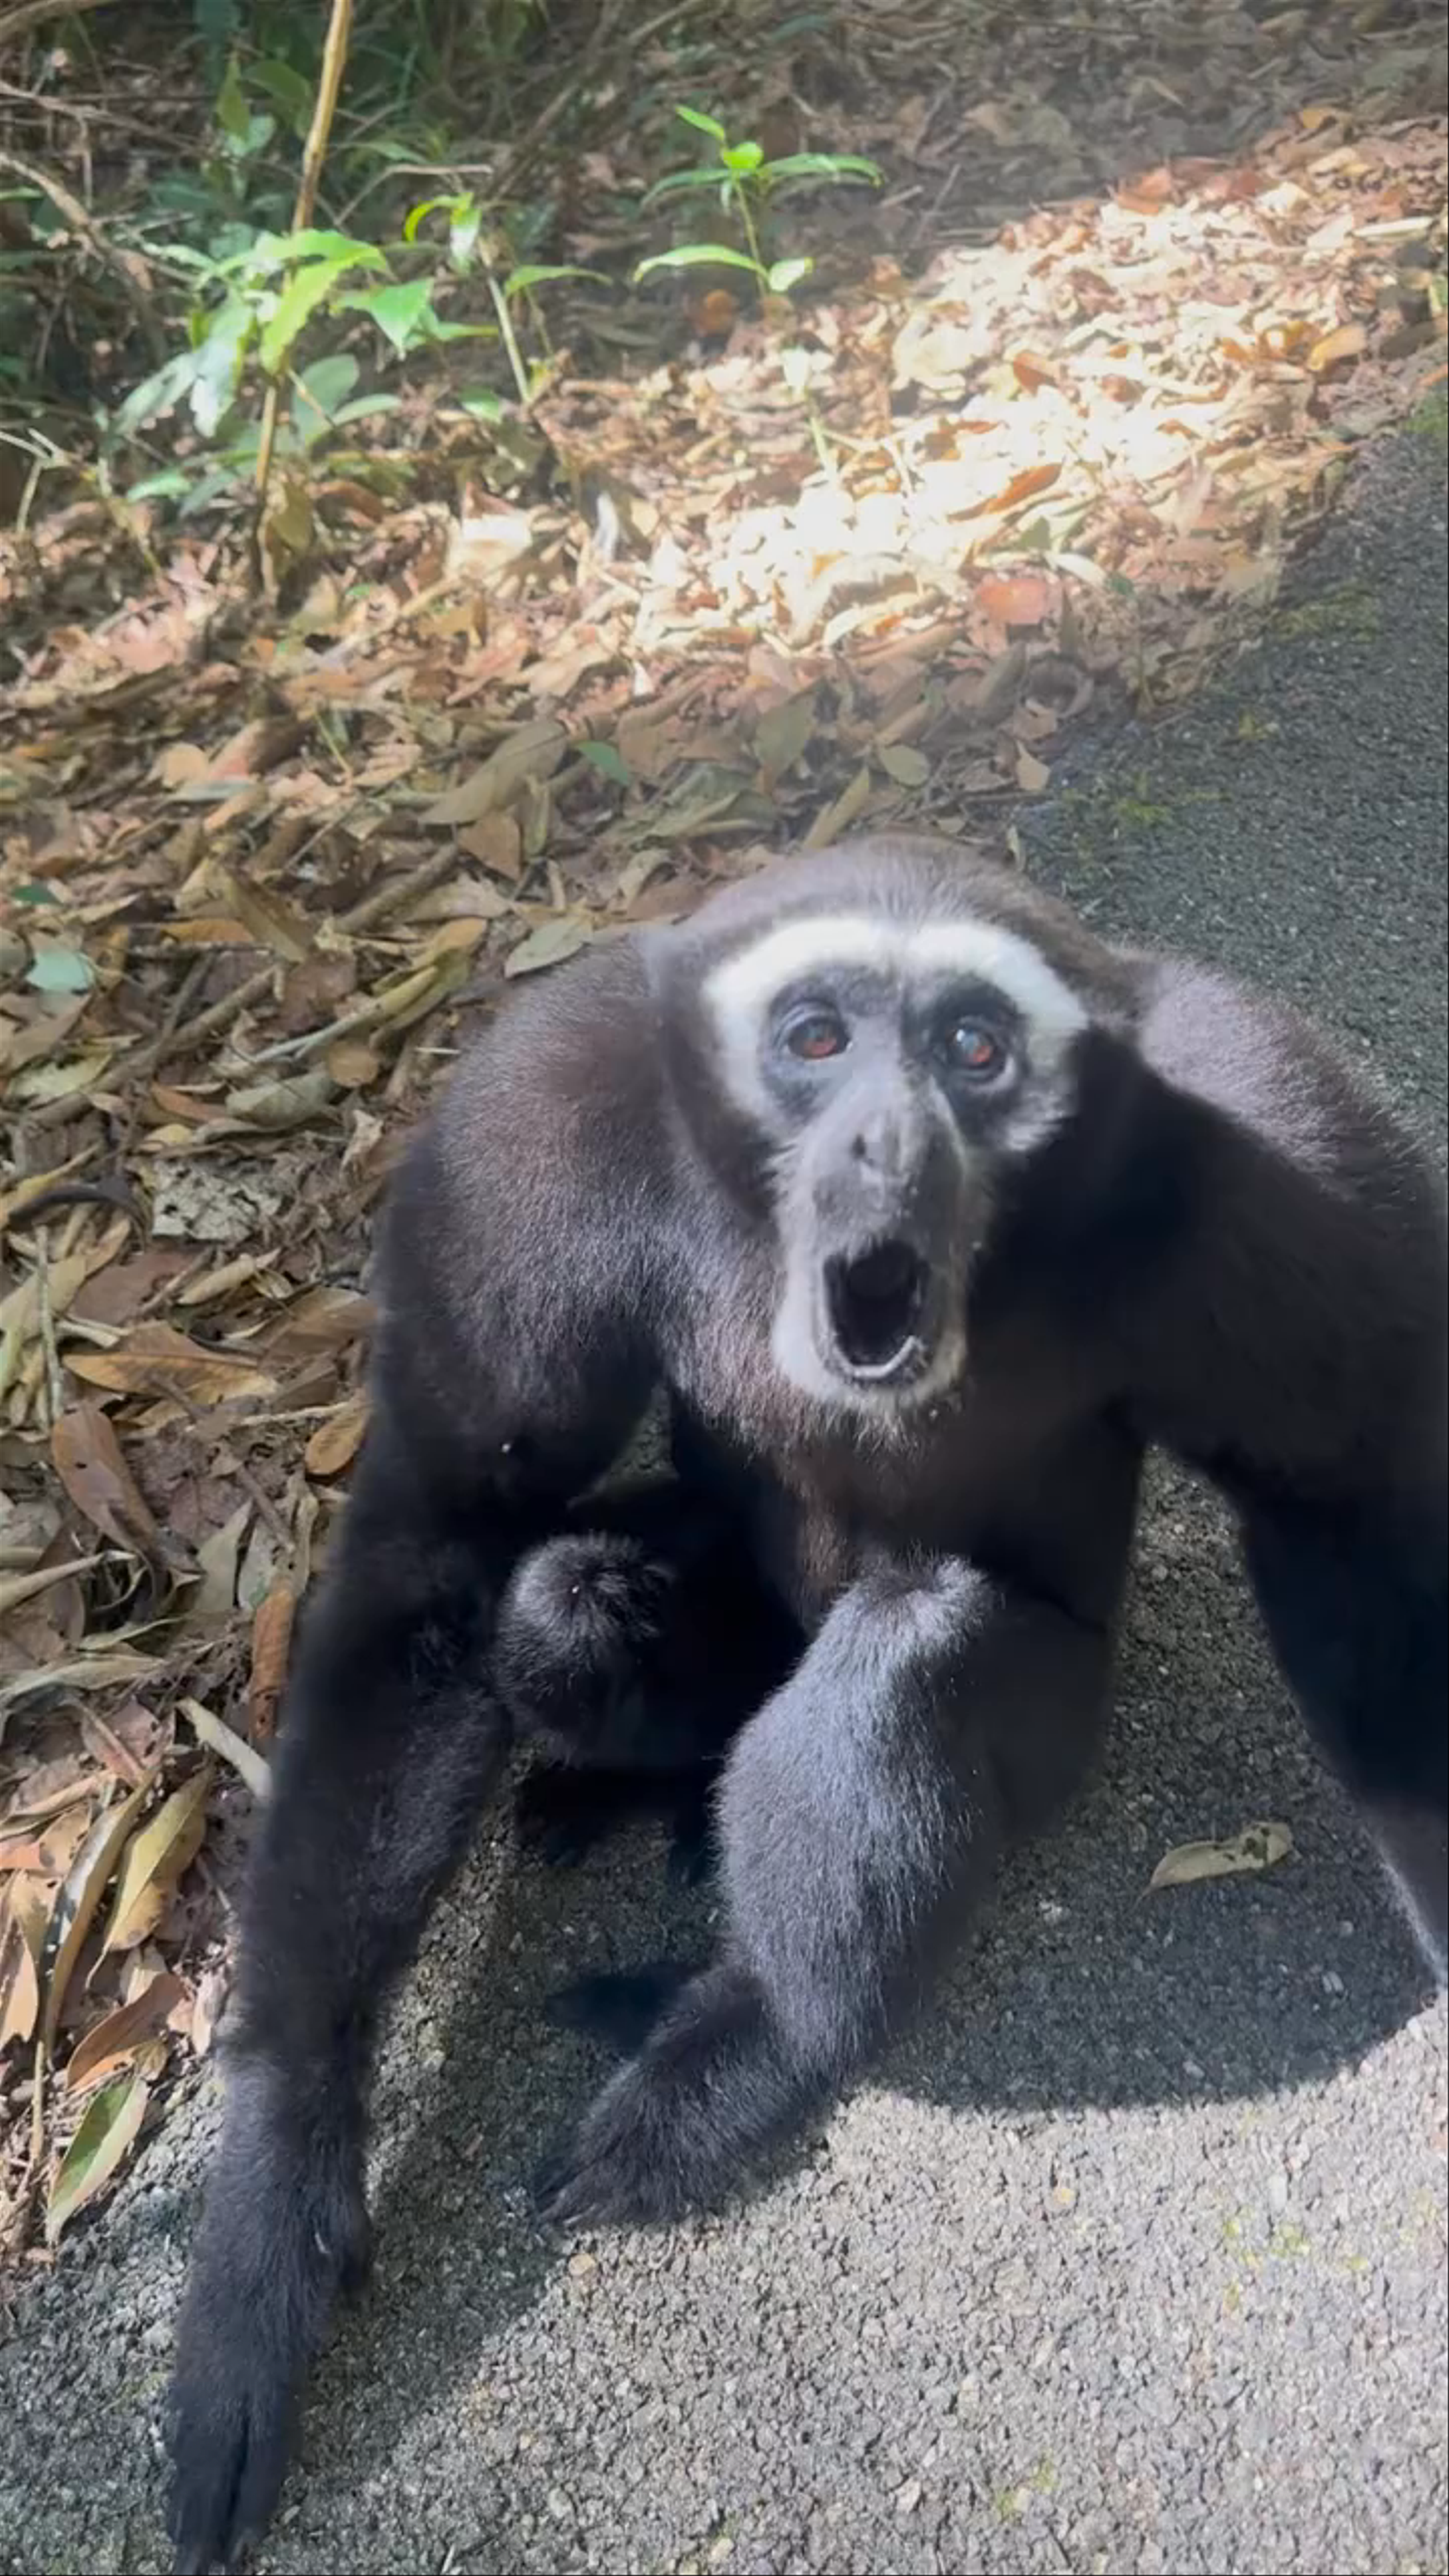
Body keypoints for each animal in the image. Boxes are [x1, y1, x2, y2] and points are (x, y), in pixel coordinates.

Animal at [164, 833, 1447, 2574]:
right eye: (818, 1038)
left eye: (975, 1050)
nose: (888, 1137)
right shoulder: (530, 1128)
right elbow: (444, 1542)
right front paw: (272, 2199)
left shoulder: (1268, 1134)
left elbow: (1351, 1502)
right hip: (726, 1622)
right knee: (555, 1600)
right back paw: (642, 1780)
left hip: (1063, 1705)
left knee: (910, 1650)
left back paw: (751, 2036)